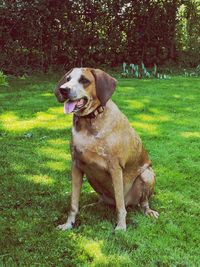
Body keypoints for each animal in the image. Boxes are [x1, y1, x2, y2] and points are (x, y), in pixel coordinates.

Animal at [54, 68, 159, 231]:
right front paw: (68, 224)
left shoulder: (115, 168)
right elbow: (73, 203)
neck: (89, 121)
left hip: (147, 175)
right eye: (68, 79)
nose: (63, 89)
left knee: (140, 202)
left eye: (84, 80)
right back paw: (93, 205)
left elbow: (120, 207)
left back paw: (148, 211)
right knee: (104, 200)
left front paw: (121, 227)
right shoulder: (76, 165)